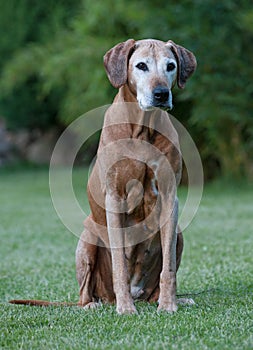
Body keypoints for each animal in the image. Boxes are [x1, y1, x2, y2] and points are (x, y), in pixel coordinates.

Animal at [9, 38, 196, 314]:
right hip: (87, 240)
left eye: (170, 66)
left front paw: (169, 304)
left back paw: (168, 299)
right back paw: (94, 304)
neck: (143, 128)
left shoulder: (169, 196)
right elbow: (119, 262)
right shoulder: (115, 198)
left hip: (179, 234)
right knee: (85, 292)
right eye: (141, 66)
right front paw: (126, 308)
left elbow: (168, 267)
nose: (161, 93)